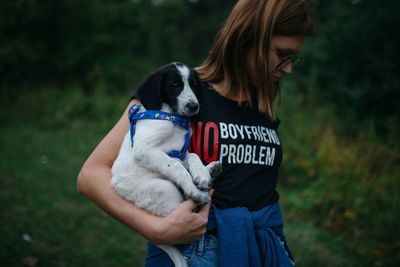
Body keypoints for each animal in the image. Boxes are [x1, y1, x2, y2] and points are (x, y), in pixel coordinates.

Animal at [111, 62, 220, 267]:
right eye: (175, 85)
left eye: (194, 84)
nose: (194, 106)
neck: (172, 118)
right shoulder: (145, 150)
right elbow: (176, 166)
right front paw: (194, 187)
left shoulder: (181, 150)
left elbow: (193, 156)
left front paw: (201, 174)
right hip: (163, 190)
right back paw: (195, 193)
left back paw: (212, 170)